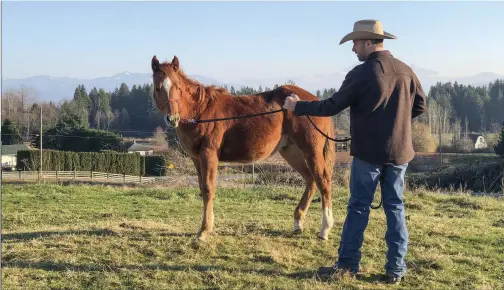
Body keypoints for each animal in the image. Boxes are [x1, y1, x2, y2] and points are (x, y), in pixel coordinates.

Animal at [152, 55, 336, 241]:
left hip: (311, 150)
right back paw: (298, 222)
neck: (200, 111)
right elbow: (203, 189)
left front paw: (204, 231)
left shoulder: (209, 155)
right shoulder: (196, 159)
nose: (172, 118)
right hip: (291, 151)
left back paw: (325, 229)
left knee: (323, 181)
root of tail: (315, 101)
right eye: (158, 88)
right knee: (311, 180)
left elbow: (209, 190)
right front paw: (207, 226)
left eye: (178, 87)